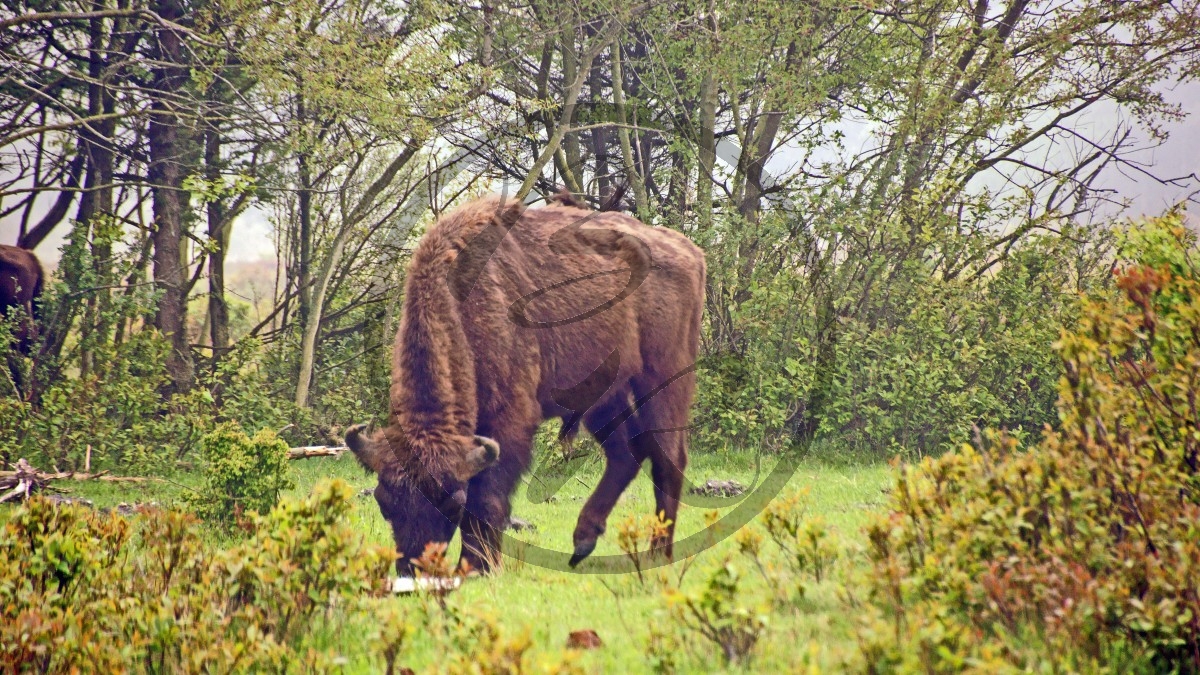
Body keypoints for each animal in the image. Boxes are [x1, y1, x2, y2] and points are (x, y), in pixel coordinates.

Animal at [348, 192, 700, 569]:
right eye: (384, 501)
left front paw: (478, 567)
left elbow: (487, 500)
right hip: (603, 395)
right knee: (626, 453)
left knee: (668, 458)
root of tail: (688, 250)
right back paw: (583, 541)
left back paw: (657, 553)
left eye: (452, 504)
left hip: (663, 378)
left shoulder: (509, 422)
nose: (414, 568)